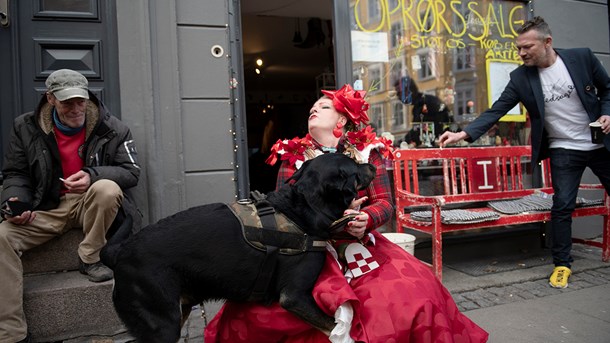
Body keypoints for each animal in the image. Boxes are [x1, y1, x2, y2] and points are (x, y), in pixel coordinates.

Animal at [100, 155, 376, 342]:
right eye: (354, 165)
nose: (373, 164)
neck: (302, 208)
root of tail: (119, 252)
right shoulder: (295, 296)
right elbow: (336, 326)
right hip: (161, 324)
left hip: (177, 311)